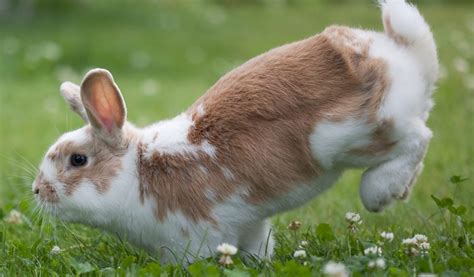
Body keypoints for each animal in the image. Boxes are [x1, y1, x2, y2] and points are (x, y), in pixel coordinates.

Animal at [33, 0, 438, 264]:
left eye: (78, 160)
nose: (37, 190)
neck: (139, 171)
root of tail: (401, 55)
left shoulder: (195, 237)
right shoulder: (249, 225)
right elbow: (257, 248)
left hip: (352, 136)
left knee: (419, 137)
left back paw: (380, 192)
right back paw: (399, 191)